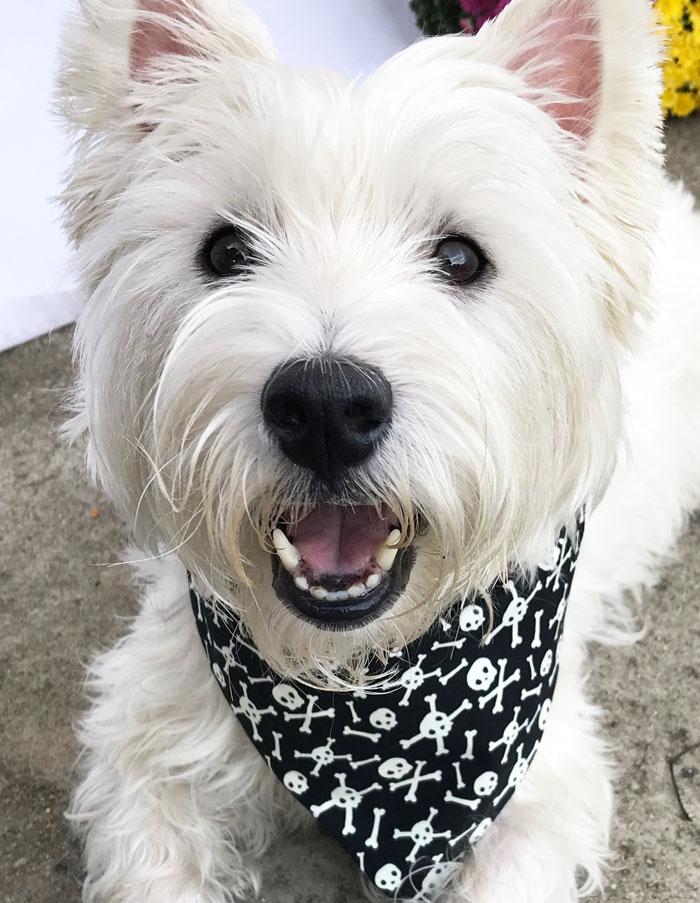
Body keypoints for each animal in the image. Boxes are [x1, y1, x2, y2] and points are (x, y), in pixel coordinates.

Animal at [58, 0, 700, 900]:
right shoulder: (143, 740)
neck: (359, 684)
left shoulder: (542, 783)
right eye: (225, 250)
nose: (326, 406)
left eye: (461, 257)